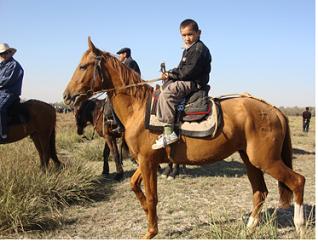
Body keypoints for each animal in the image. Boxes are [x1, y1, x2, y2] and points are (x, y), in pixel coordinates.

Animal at [62, 37, 306, 238]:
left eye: (83, 66)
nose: (66, 96)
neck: (138, 107)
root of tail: (273, 109)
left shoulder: (147, 162)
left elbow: (152, 195)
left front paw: (151, 231)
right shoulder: (147, 160)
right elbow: (135, 186)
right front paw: (146, 211)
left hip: (266, 160)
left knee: (297, 181)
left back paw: (300, 225)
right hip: (251, 161)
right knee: (260, 192)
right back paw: (250, 228)